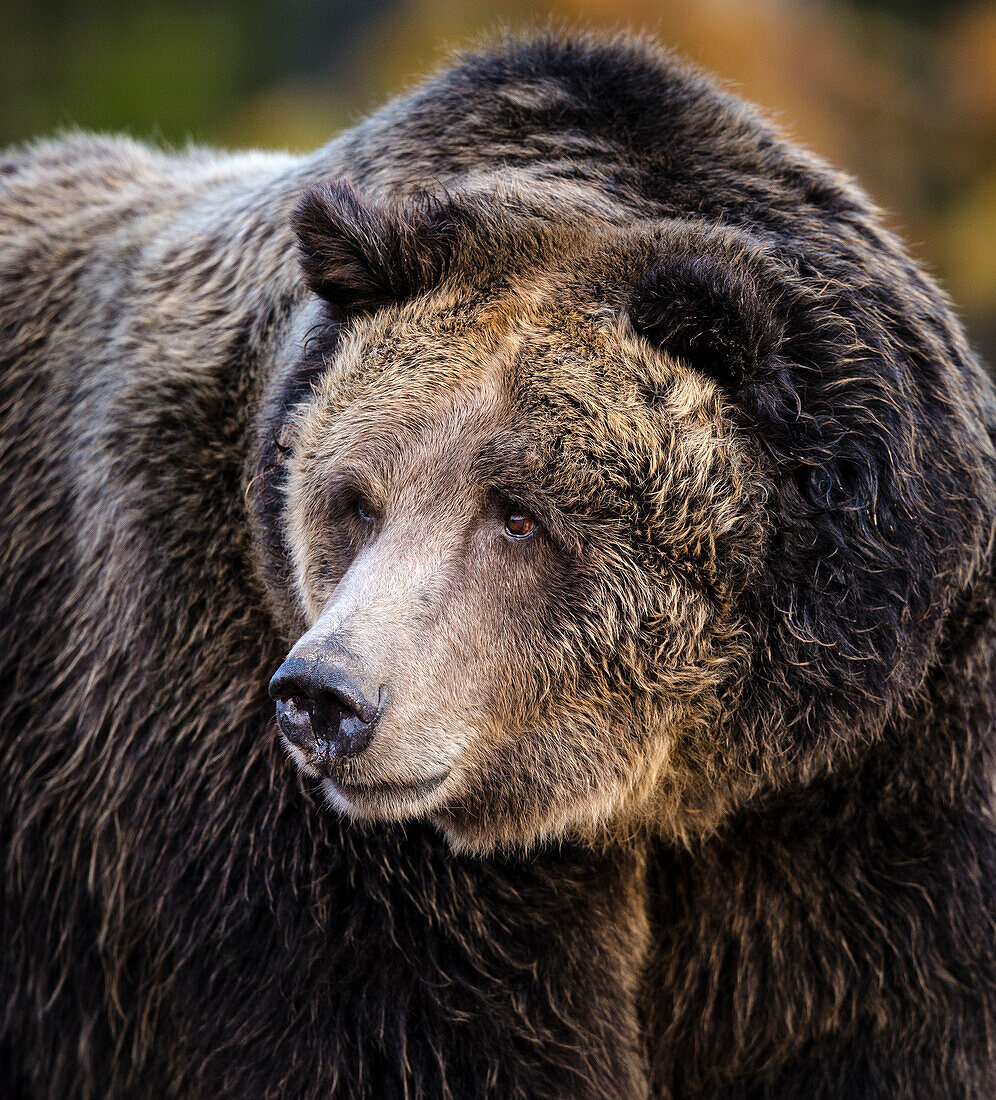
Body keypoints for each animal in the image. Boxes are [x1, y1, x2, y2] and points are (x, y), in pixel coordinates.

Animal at [1, 30, 994, 1095]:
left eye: (518, 515)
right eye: (354, 499)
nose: (325, 697)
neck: (663, 785)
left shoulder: (868, 773)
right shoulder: (262, 770)